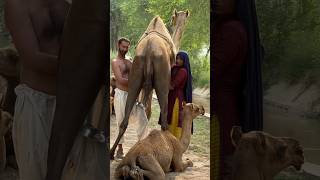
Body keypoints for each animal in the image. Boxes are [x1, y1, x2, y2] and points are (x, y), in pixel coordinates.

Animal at [110, 9, 189, 159]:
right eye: (174, 17)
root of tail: (149, 50)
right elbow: (148, 111)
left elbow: (144, 111)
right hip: (161, 79)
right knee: (163, 121)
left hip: (136, 72)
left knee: (124, 121)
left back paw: (112, 153)